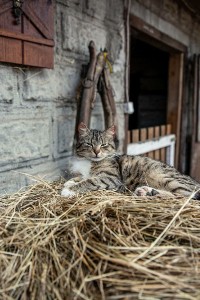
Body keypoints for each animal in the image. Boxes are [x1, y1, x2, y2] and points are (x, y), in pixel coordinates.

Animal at [61, 122, 200, 199]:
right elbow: (80, 178)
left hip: (162, 176)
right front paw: (69, 182)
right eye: (89, 144)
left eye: (104, 145)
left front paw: (68, 190)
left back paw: (147, 192)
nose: (96, 152)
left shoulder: (111, 178)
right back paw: (146, 191)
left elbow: (89, 181)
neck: (90, 161)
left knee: (185, 197)